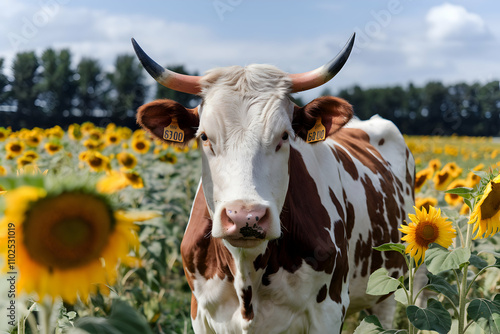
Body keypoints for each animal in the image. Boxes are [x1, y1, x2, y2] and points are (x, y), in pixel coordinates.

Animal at [132, 34, 414, 334]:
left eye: (284, 136)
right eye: (205, 137)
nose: (245, 216)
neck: (247, 271)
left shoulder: (329, 310)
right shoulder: (200, 312)